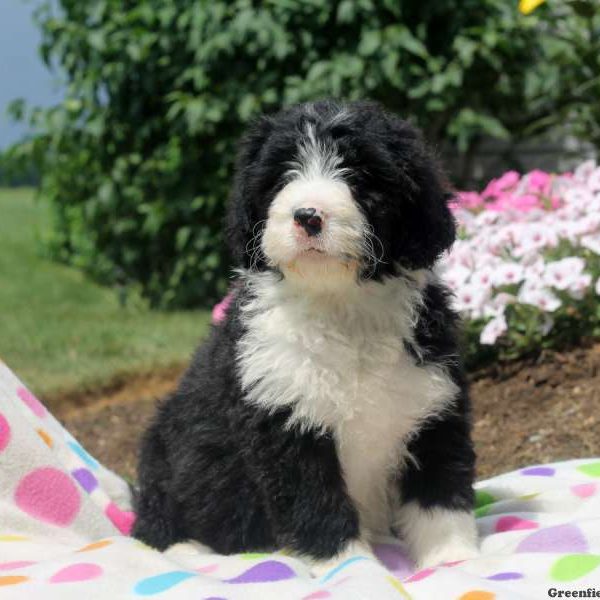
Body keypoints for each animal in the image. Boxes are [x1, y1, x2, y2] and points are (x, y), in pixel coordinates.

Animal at [131, 101, 478, 576]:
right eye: (282, 175)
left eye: (358, 174)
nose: (308, 216)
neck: (341, 305)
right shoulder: (285, 422)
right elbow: (316, 504)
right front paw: (352, 568)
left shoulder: (433, 403)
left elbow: (440, 491)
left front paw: (453, 559)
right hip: (164, 458)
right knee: (156, 526)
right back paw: (186, 550)